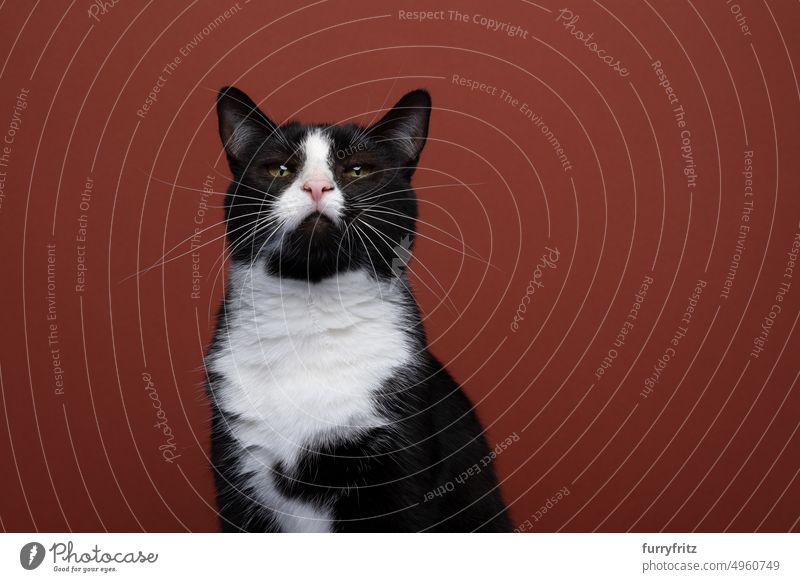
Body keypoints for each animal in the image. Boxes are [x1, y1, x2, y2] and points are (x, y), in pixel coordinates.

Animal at [203, 86, 510, 532]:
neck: (311, 317)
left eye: (358, 170)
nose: (316, 187)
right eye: (279, 169)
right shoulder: (238, 461)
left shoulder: (398, 458)